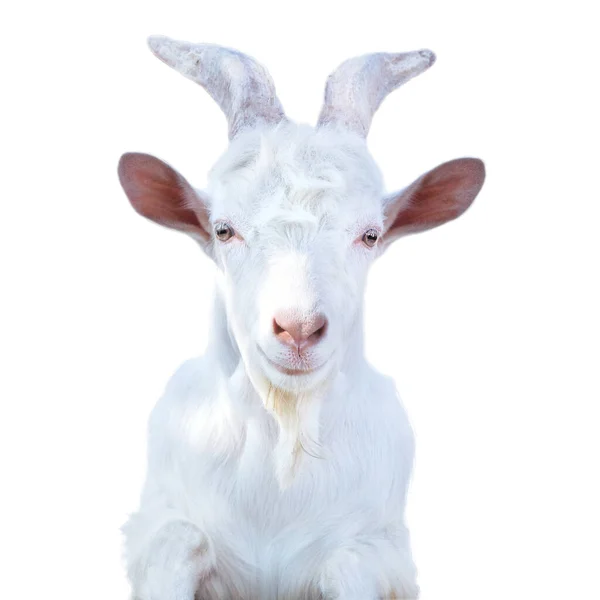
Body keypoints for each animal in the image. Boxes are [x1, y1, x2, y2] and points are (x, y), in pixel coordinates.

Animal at [118, 36, 488, 600]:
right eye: (223, 230)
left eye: (370, 234)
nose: (298, 328)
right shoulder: (157, 523)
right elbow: (180, 540)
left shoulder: (379, 549)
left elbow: (348, 563)